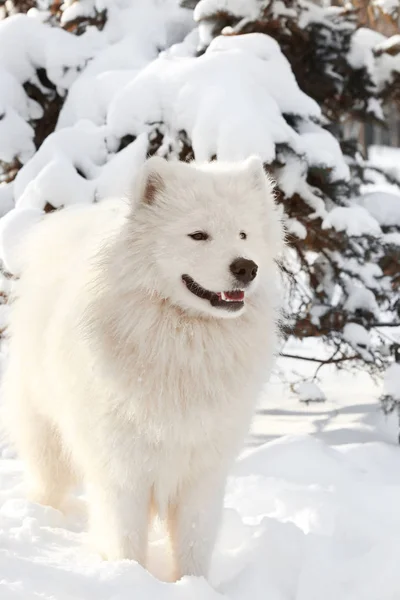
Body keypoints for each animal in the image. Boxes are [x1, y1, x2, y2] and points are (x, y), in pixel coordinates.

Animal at [3, 155, 284, 580]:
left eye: (244, 234)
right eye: (198, 235)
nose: (246, 268)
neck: (182, 343)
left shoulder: (202, 474)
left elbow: (194, 544)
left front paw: (193, 585)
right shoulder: (123, 471)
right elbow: (126, 540)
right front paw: (128, 577)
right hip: (47, 438)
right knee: (47, 484)